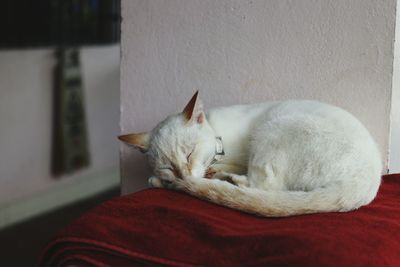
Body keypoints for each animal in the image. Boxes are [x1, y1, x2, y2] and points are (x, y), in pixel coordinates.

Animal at [119, 92, 382, 218]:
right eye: (167, 165)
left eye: (190, 152)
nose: (183, 175)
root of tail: (367, 180)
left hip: (271, 130)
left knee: (263, 186)